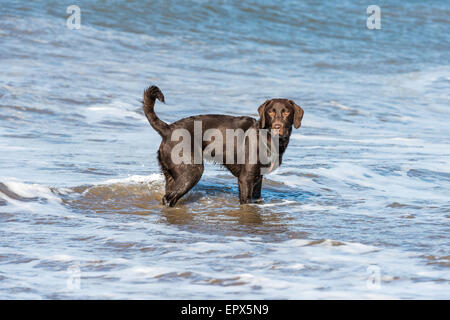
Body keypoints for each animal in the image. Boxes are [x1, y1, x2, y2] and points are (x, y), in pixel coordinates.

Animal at [144, 85, 304, 205]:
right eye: (270, 112)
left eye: (286, 112)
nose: (277, 126)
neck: (267, 138)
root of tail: (168, 129)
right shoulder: (246, 179)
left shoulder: (258, 179)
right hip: (191, 171)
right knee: (169, 198)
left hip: (172, 175)